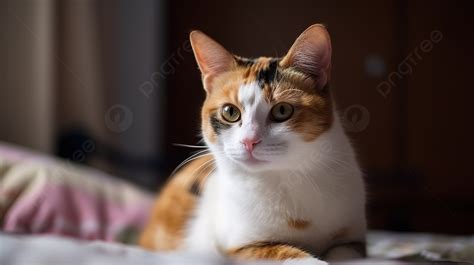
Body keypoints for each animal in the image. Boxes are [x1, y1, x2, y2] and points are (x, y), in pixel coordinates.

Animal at [139, 23, 368, 262]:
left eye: (282, 110)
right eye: (230, 112)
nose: (249, 141)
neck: (285, 175)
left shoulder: (354, 239)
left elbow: (344, 253)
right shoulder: (241, 247)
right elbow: (290, 254)